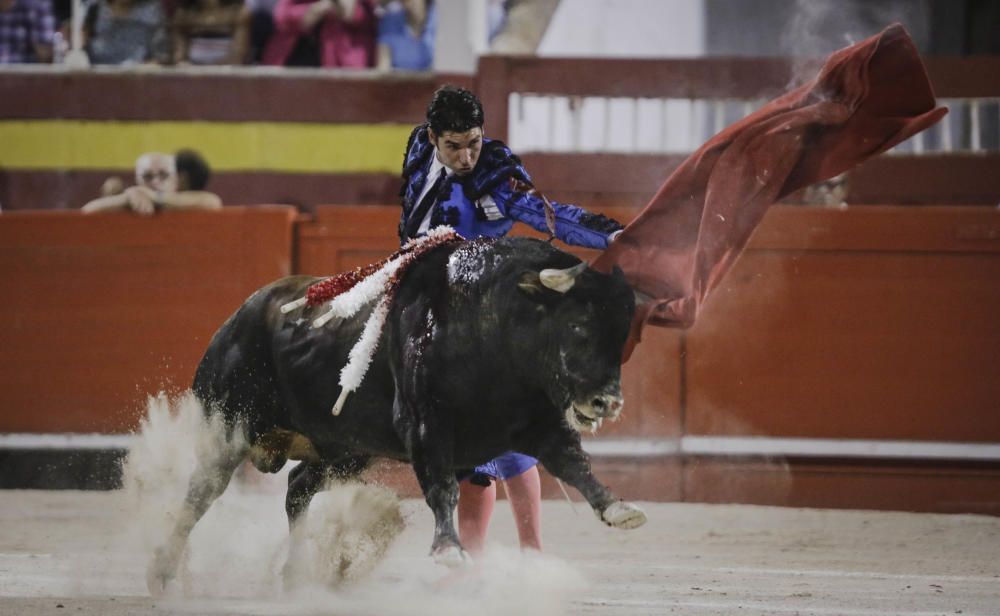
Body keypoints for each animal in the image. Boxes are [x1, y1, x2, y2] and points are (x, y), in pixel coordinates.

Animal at [146, 236, 648, 592]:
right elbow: (443, 489)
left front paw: (618, 508)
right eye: (578, 325)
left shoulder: (538, 425)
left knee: (297, 487)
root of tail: (236, 319)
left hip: (345, 448)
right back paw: (163, 573)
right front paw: (449, 550)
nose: (607, 402)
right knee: (202, 492)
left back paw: (295, 574)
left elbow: (574, 464)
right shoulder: (426, 426)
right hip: (227, 427)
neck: (490, 324)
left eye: (623, 333)